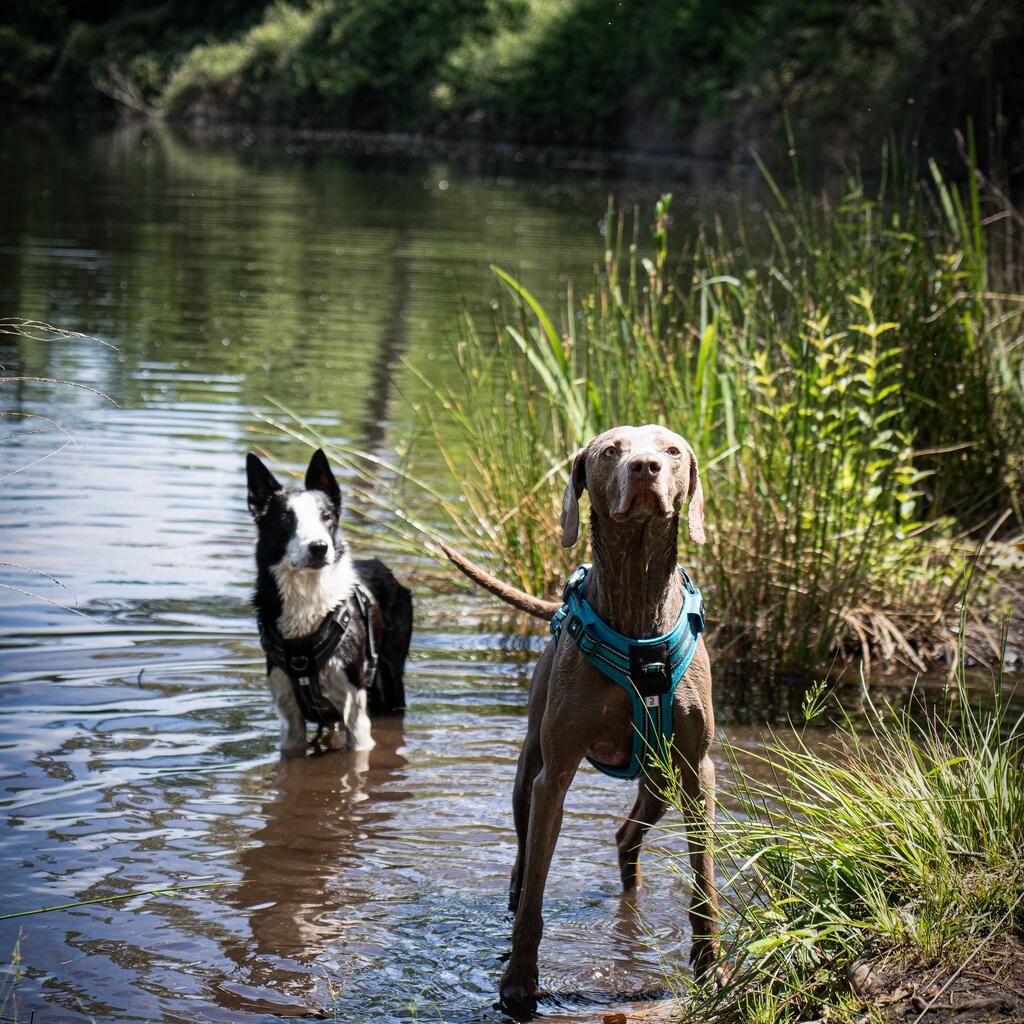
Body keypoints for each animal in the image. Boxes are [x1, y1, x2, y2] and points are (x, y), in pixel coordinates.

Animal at [245, 452, 409, 757]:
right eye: (285, 519)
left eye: (326, 517)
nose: (319, 547)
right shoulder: (289, 717)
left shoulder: (356, 715)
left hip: (392, 679)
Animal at [440, 421, 720, 1007]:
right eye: (610, 451)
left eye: (672, 450)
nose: (645, 468)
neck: (637, 606)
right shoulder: (556, 774)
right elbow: (534, 899)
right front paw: (518, 984)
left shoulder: (697, 769)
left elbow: (704, 882)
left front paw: (713, 970)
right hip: (529, 770)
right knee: (524, 859)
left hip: (660, 781)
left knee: (625, 839)